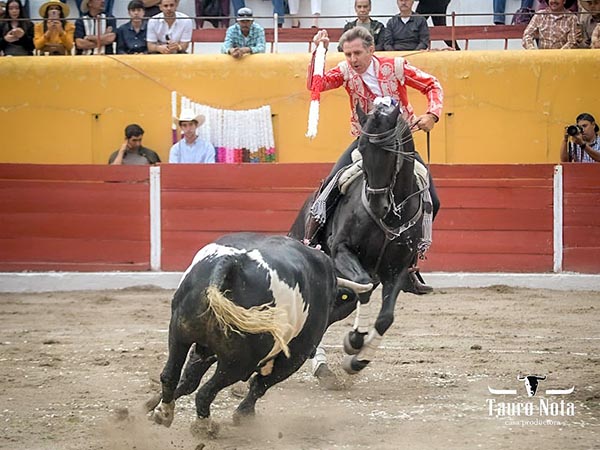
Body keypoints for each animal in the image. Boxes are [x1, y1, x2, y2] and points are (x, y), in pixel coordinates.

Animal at [148, 234, 368, 434]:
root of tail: (231, 264)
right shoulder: (295, 356)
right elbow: (261, 384)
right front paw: (243, 414)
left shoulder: (204, 348)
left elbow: (189, 379)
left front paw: (152, 406)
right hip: (239, 362)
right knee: (206, 391)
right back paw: (204, 426)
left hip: (180, 333)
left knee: (171, 375)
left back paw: (164, 412)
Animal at [288, 101, 432, 372]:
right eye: (362, 148)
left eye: (391, 150)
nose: (377, 204)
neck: (391, 215)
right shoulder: (342, 250)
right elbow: (363, 287)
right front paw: (354, 341)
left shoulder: (398, 269)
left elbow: (386, 317)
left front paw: (359, 359)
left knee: (331, 313)